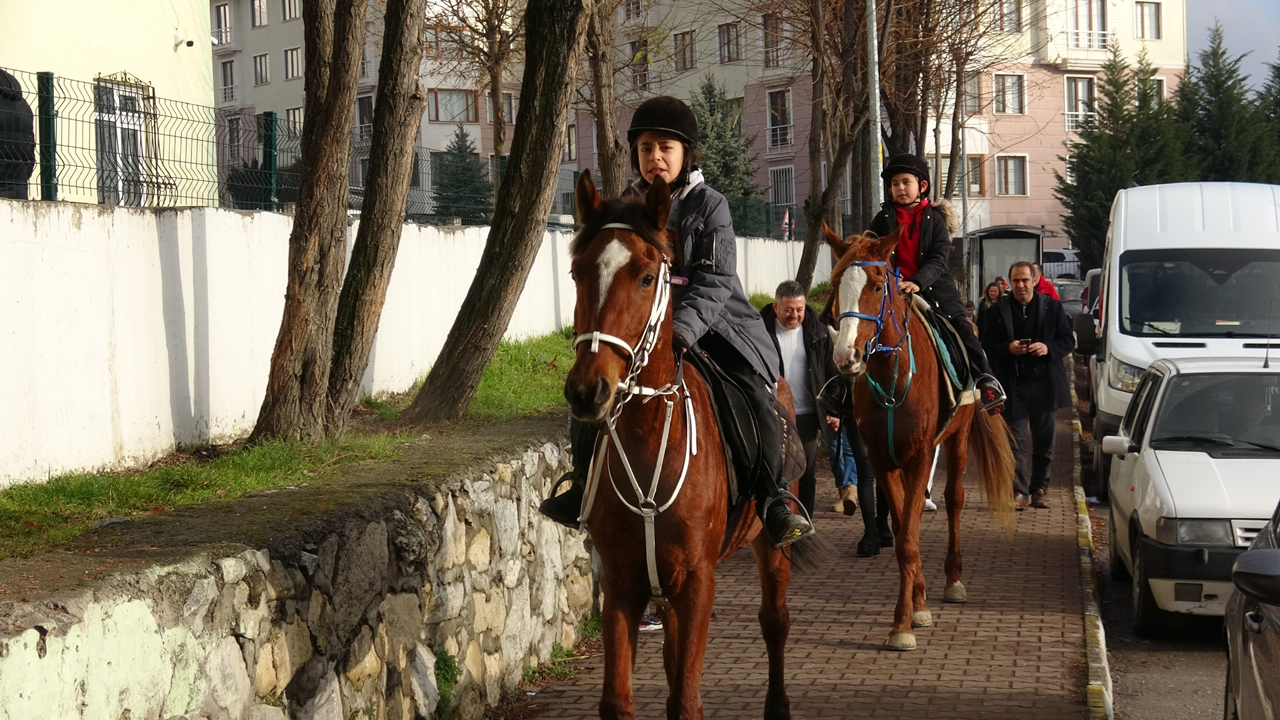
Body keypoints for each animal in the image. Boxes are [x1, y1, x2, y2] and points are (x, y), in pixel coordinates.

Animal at [563, 169, 808, 717]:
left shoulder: (699, 583)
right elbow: (619, 700)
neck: (648, 439)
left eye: (646, 277)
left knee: (775, 621)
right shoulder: (624, 584)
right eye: (576, 274)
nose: (588, 391)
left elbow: (687, 701)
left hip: (769, 546)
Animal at [824, 224, 1013, 650]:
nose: (846, 358)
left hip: (957, 440)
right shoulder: (882, 460)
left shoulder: (921, 456)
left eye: (878, 285)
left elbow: (909, 537)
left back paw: (954, 580)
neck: (892, 374)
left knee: (955, 500)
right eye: (837, 284)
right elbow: (901, 535)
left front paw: (904, 623)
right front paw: (915, 609)